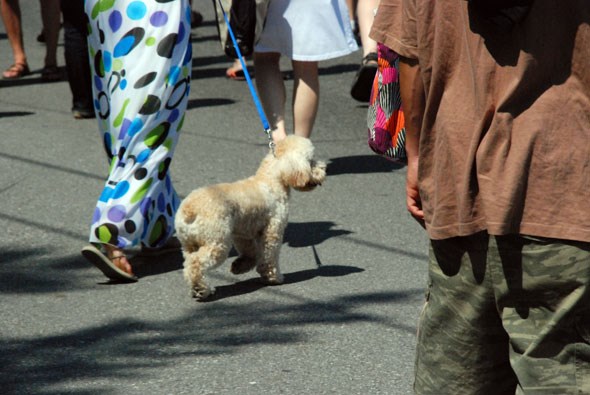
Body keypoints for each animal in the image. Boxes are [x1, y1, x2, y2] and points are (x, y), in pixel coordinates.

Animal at [173, 136, 330, 300]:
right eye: (310, 160)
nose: (324, 168)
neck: (271, 180)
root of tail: (189, 209)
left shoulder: (243, 233)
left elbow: (251, 253)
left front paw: (239, 266)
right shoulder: (273, 230)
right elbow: (269, 256)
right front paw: (273, 277)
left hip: (189, 244)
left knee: (188, 263)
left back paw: (197, 288)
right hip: (217, 242)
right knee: (196, 263)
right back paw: (201, 289)